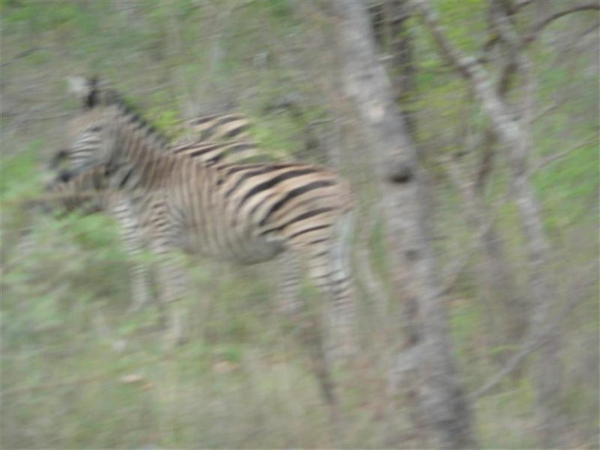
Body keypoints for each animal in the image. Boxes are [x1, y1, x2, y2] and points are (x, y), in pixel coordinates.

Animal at [55, 79, 356, 356]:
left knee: (331, 290)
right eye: (69, 129)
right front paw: (185, 338)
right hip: (333, 244)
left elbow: (168, 289)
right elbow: (181, 289)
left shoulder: (162, 238)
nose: (62, 172)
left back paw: (336, 352)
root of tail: (341, 183)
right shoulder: (175, 244)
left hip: (309, 239)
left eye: (94, 130)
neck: (150, 177)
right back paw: (344, 350)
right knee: (344, 288)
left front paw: (170, 341)